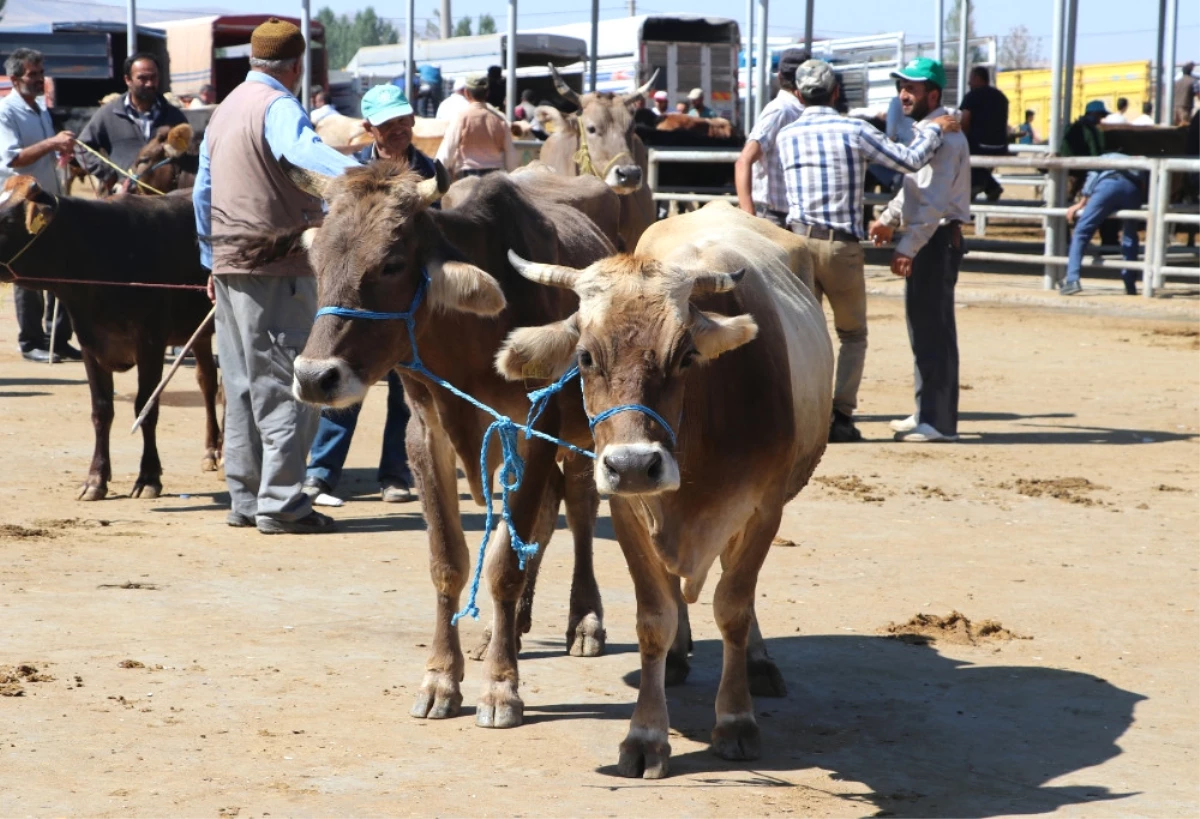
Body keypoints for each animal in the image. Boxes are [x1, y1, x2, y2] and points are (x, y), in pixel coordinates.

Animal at [0, 175, 220, 497]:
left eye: (6, 219)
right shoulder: (91, 345)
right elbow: (101, 411)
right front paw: (96, 479)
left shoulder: (151, 343)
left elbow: (145, 408)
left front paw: (148, 477)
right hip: (199, 333)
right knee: (208, 382)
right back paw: (211, 451)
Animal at [274, 162, 619, 725]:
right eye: (316, 260)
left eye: (391, 264)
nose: (314, 377)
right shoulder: (424, 429)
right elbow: (449, 560)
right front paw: (441, 677)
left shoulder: (537, 425)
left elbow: (504, 565)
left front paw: (501, 687)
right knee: (544, 516)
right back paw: (507, 628)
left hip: (580, 432)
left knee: (580, 509)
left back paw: (584, 620)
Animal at [496, 200, 835, 773]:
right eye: (584, 357)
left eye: (685, 355)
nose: (634, 465)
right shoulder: (629, 514)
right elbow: (654, 618)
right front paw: (646, 735)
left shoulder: (763, 510)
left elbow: (733, 607)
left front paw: (735, 718)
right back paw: (678, 655)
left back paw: (758, 662)